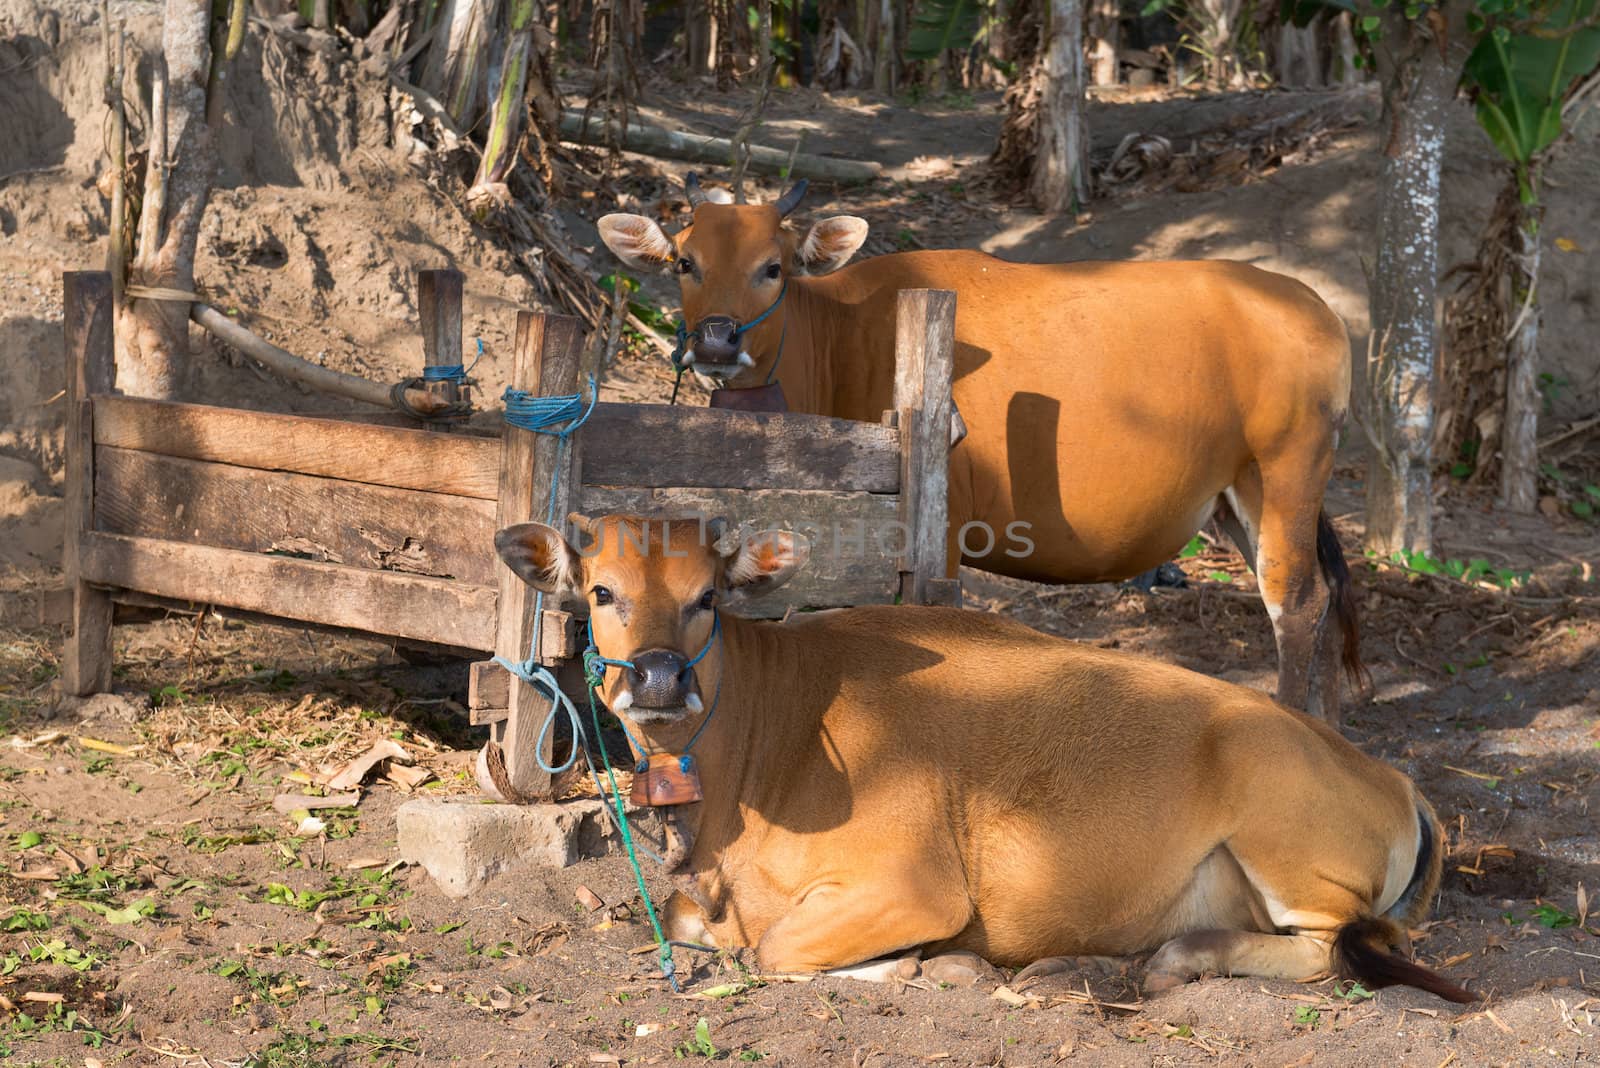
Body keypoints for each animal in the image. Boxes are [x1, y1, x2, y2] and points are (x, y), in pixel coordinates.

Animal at [492, 518, 1465, 1004]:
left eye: (706, 597)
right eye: (601, 591)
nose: (658, 677)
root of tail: (1394, 779)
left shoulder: (918, 888)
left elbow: (772, 949)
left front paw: (935, 966)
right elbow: (700, 925)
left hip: (1288, 844)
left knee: (1333, 952)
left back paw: (1170, 962)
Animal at [601, 179, 1363, 722]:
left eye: (774, 267)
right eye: (685, 262)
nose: (716, 341)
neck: (842, 334)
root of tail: (1316, 308)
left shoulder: (936, 535)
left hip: (1289, 470)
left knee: (1296, 600)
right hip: (1239, 494)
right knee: (1316, 598)